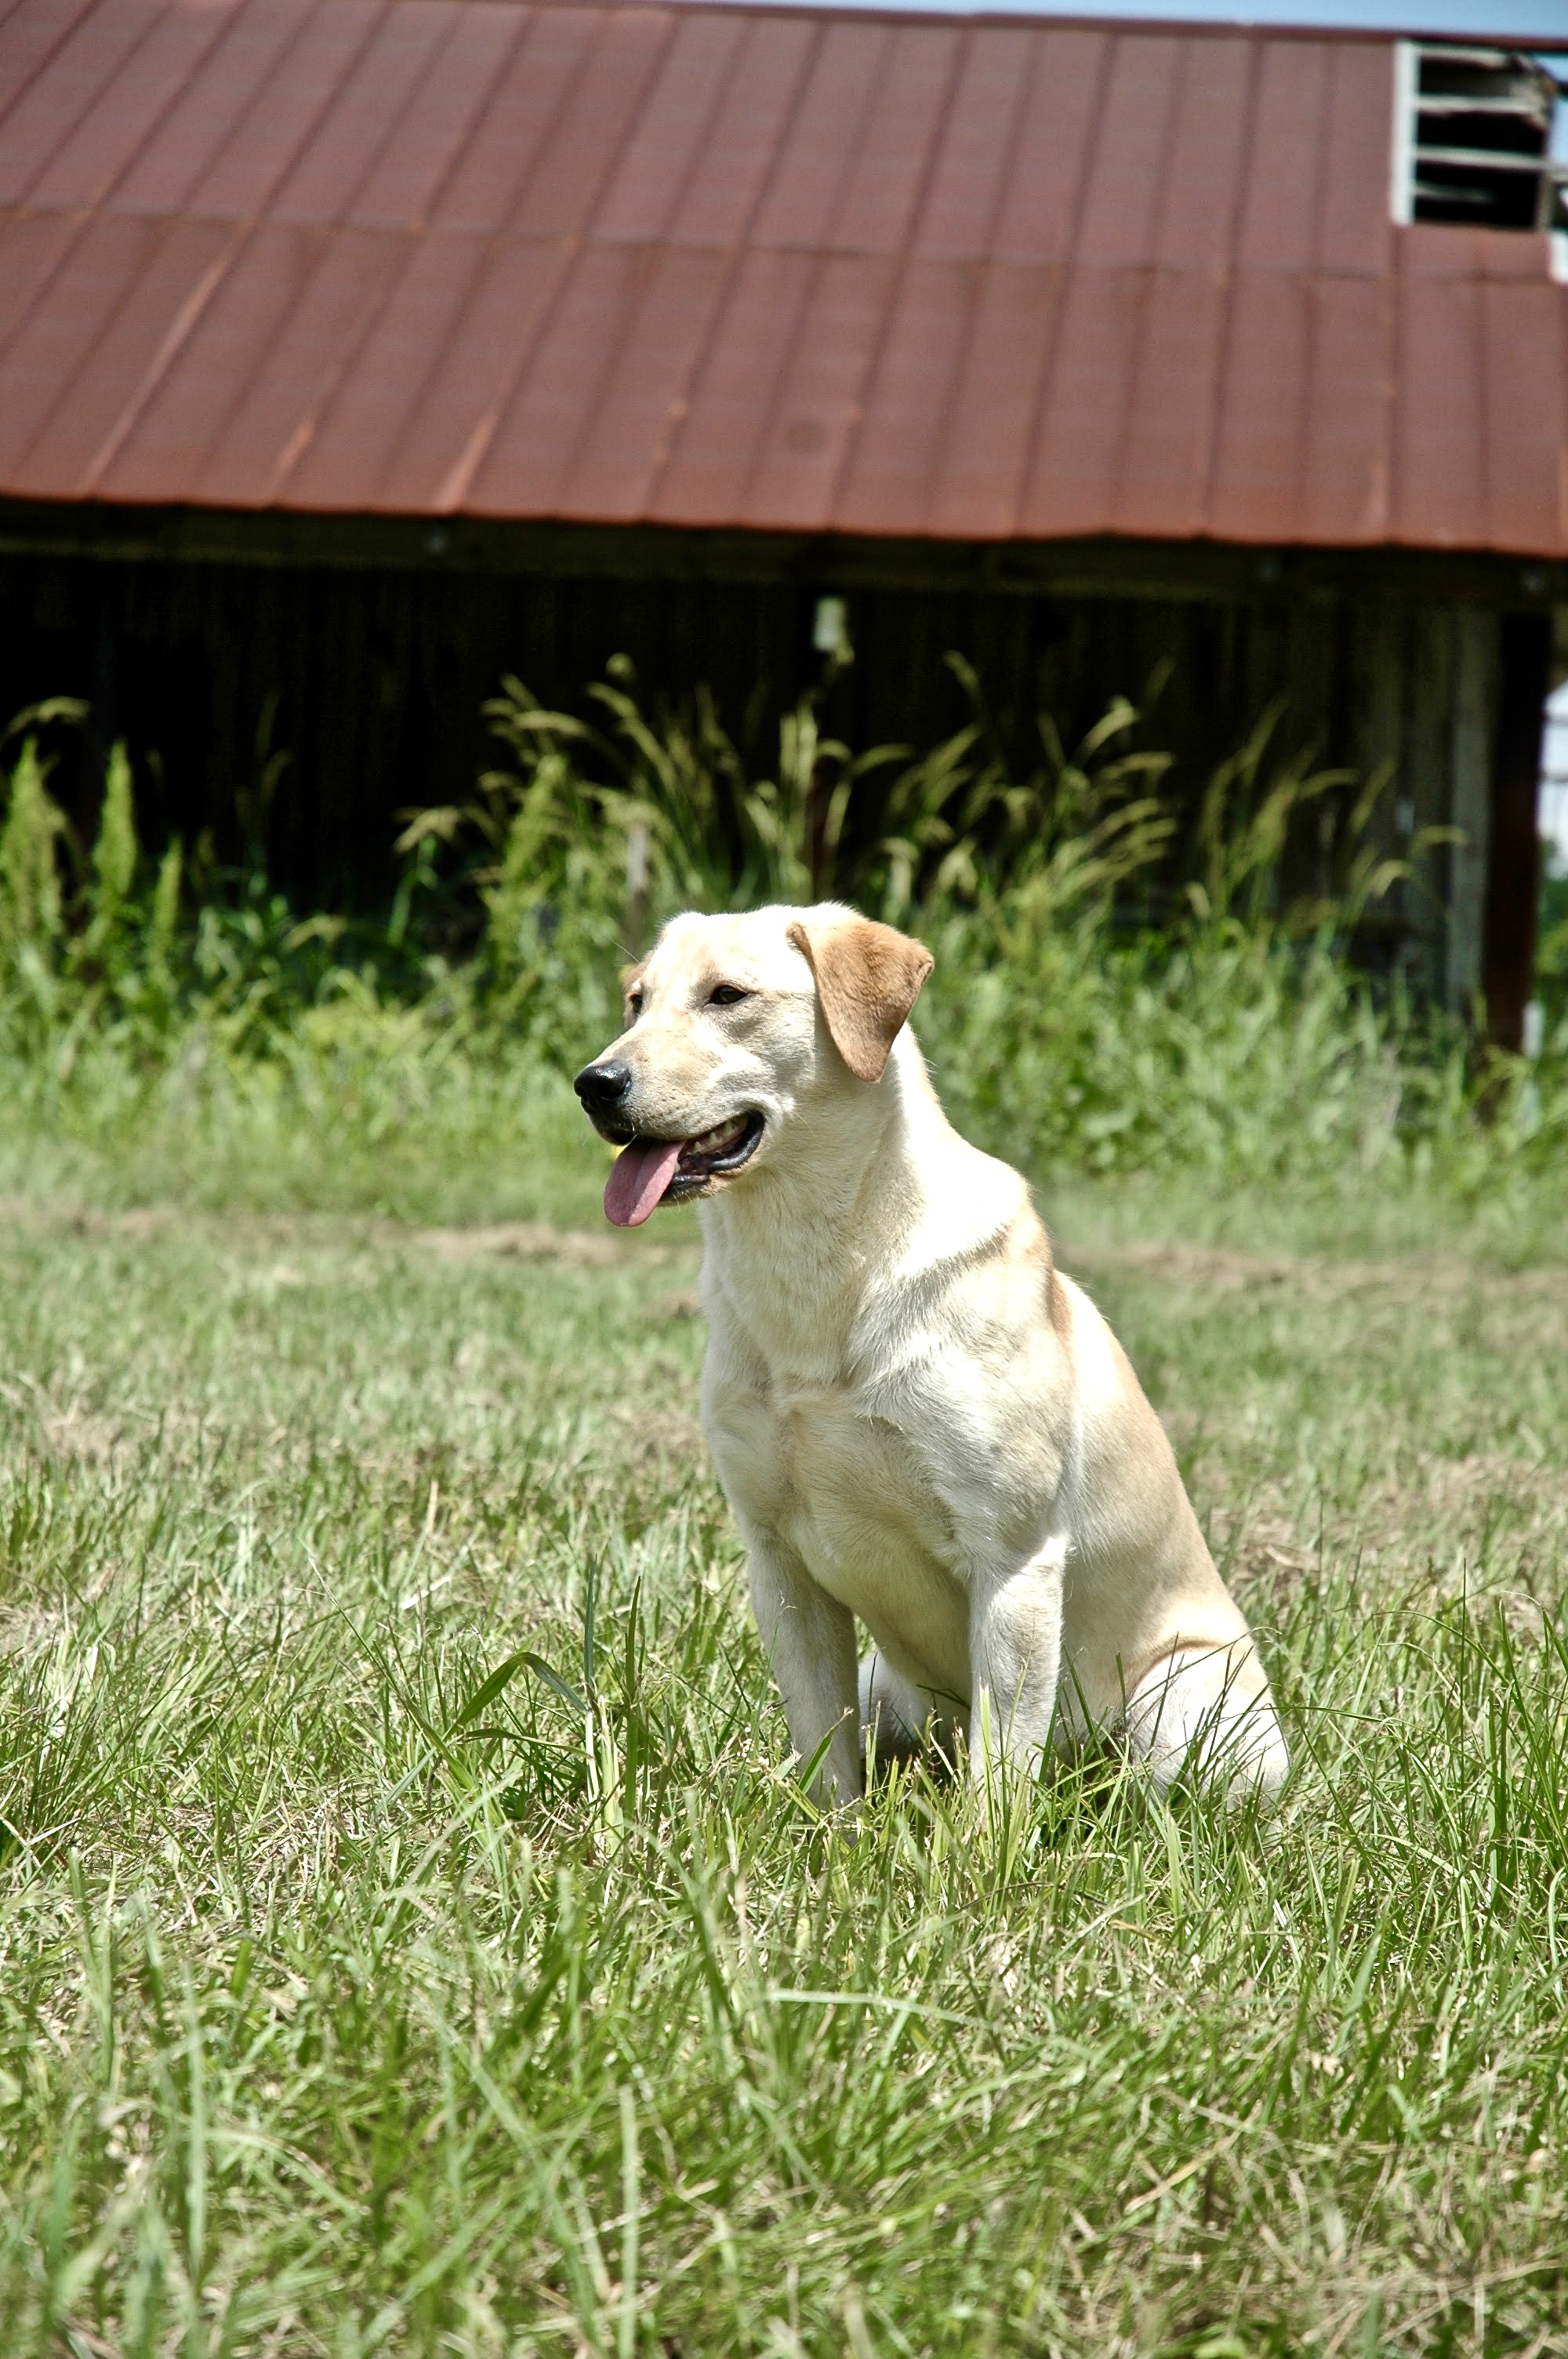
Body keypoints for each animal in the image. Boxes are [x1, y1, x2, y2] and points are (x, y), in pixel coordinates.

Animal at [575, 896, 1283, 1802]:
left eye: (726, 995)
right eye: (635, 1000)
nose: (594, 1083)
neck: (820, 1268)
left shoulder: (1013, 1559)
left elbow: (1000, 1772)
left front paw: (986, 1841)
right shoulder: (778, 1563)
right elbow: (823, 1747)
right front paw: (830, 1830)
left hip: (1178, 1706)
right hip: (886, 1684)